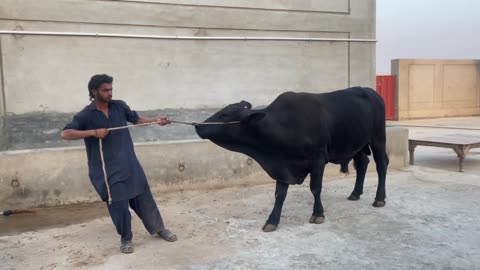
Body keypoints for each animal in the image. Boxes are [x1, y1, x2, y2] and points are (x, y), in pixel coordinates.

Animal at [193, 87, 388, 232]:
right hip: (357, 144)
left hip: (377, 138)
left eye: (225, 115)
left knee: (381, 165)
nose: (197, 125)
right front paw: (272, 220)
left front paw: (318, 214)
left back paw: (379, 199)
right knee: (362, 163)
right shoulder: (282, 166)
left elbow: (315, 188)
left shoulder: (318, 160)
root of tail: (370, 91)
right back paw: (355, 193)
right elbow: (280, 194)